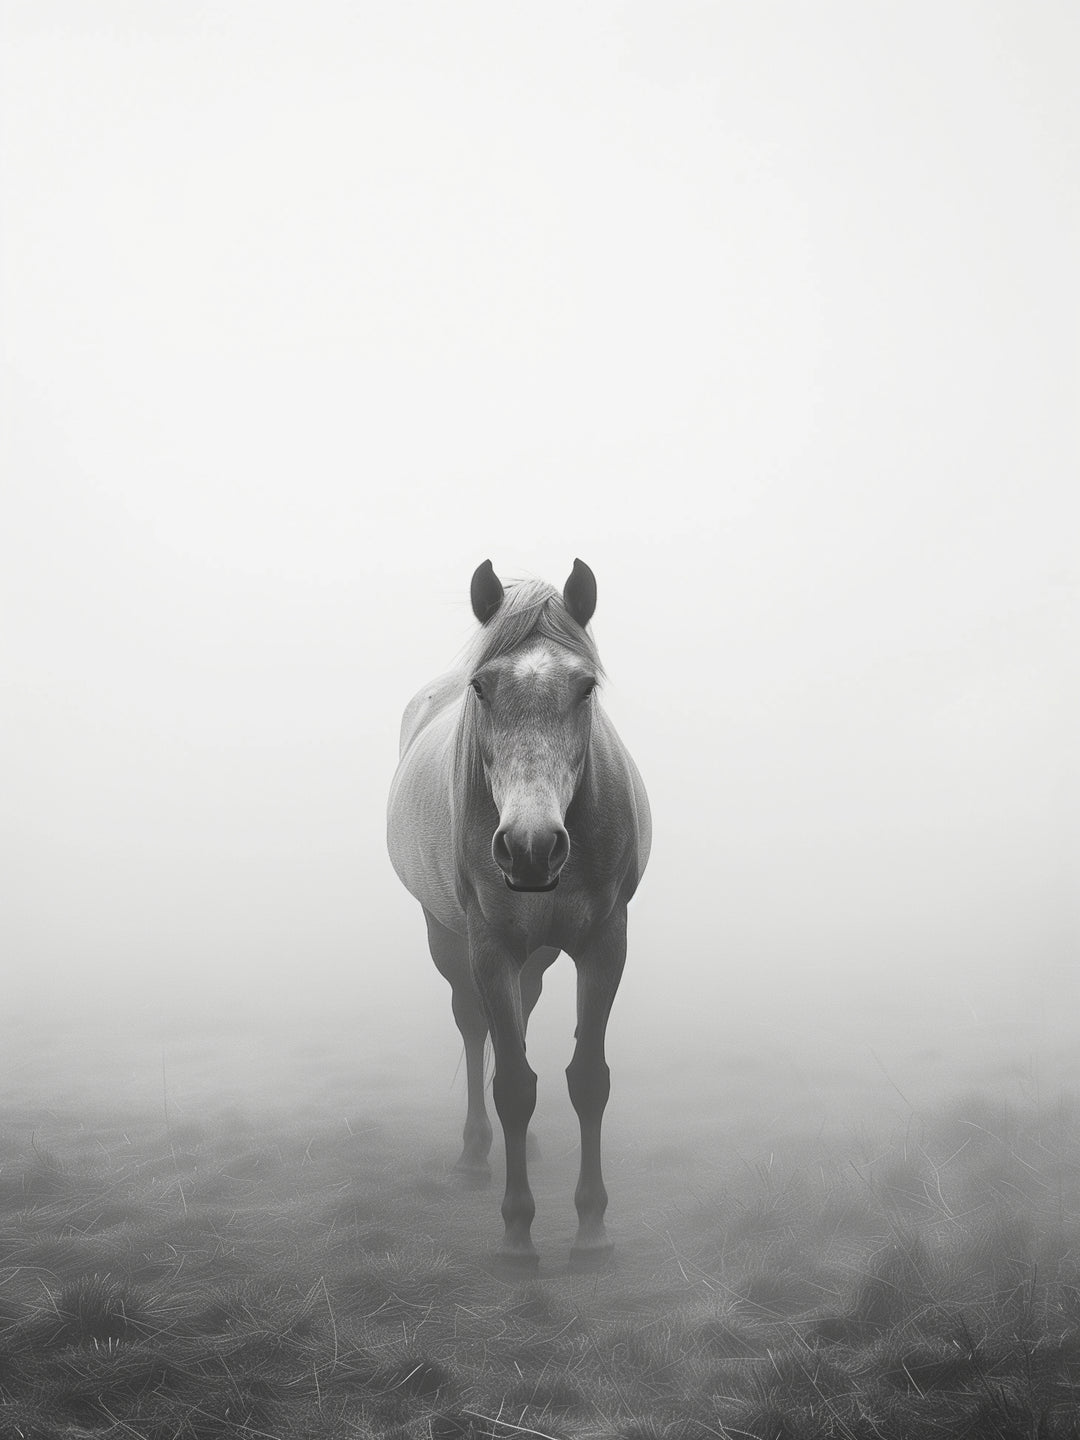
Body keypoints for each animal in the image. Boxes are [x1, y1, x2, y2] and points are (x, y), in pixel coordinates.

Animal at [386, 559, 651, 1269]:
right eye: (481, 687)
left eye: (586, 687)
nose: (531, 848)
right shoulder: (490, 946)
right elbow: (510, 1085)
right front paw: (515, 1234)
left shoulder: (605, 942)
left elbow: (588, 1080)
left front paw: (592, 1229)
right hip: (447, 939)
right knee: (475, 1029)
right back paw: (477, 1154)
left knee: (523, 1018)